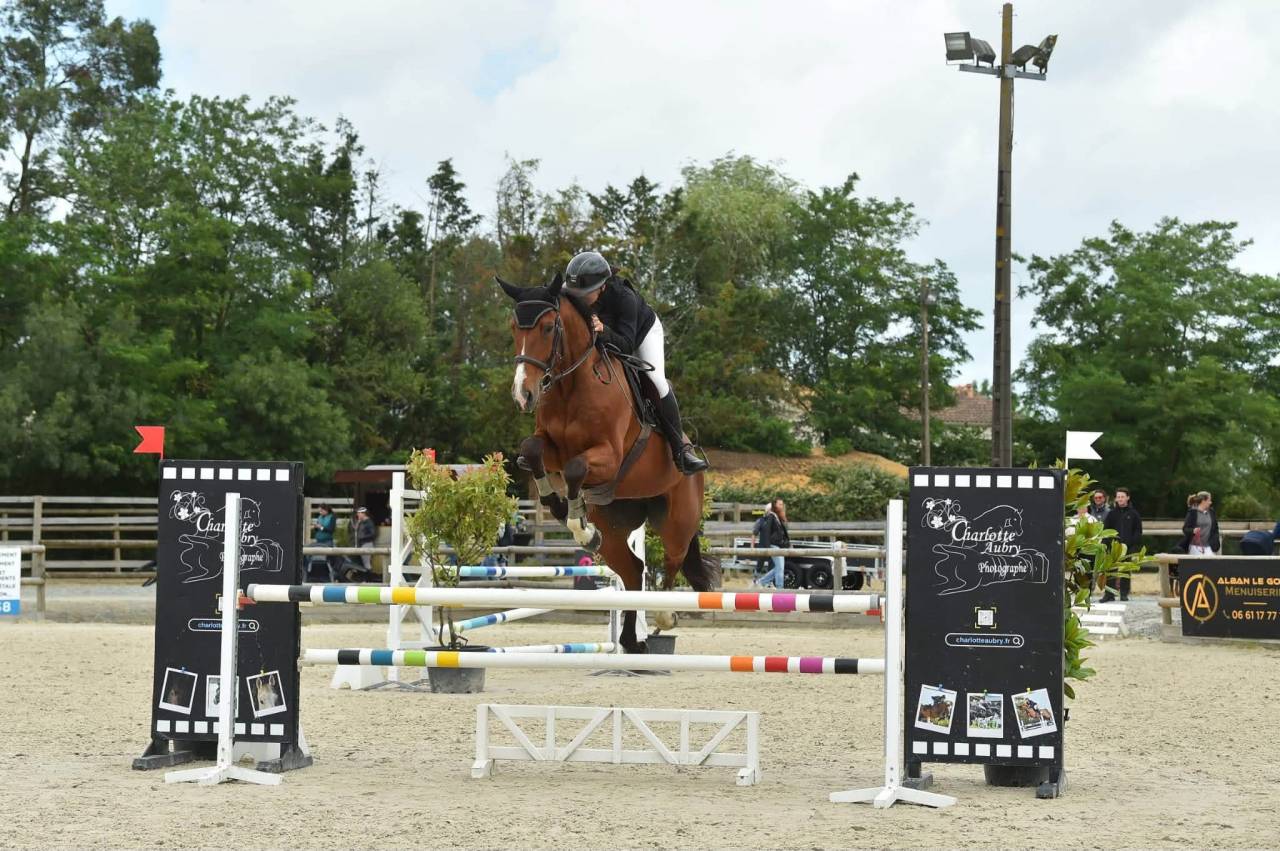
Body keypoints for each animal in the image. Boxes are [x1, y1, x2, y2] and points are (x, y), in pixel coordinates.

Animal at [498, 272, 720, 653]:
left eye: (547, 327)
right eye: (514, 326)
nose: (523, 394)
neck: (573, 386)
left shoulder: (610, 456)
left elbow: (576, 468)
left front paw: (576, 522)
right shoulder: (551, 448)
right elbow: (532, 449)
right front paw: (559, 507)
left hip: (678, 519)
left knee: (673, 559)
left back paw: (664, 616)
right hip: (614, 523)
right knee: (632, 569)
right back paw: (631, 640)